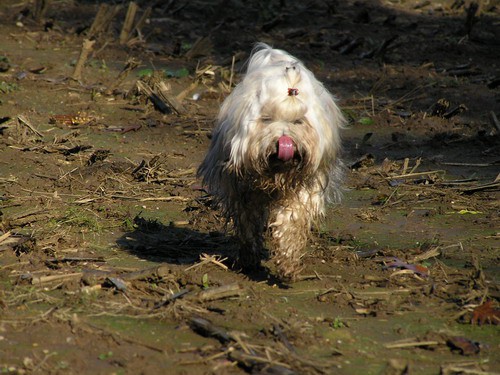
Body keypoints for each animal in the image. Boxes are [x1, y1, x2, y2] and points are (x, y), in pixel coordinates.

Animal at [197, 42, 346, 280]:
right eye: (266, 119)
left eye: (298, 121)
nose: (284, 142)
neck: (276, 172)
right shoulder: (241, 186)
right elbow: (247, 220)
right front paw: (249, 257)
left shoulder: (305, 184)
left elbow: (291, 218)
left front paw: (288, 262)